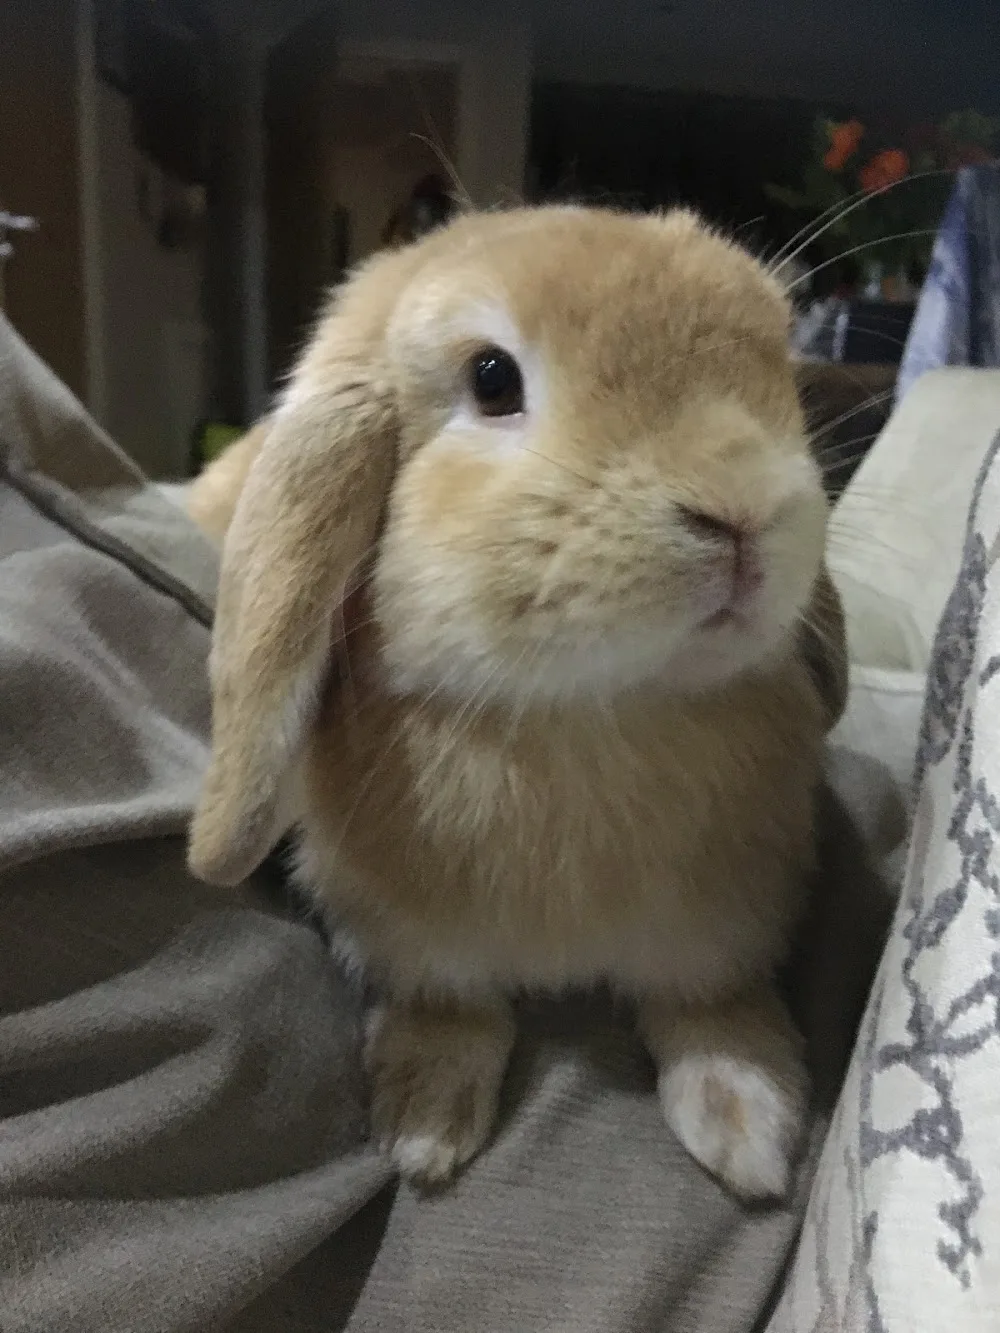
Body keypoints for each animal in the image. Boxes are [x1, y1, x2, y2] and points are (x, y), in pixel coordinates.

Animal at [187, 205, 848, 1199]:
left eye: (780, 371)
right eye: (492, 378)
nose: (741, 510)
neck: (589, 717)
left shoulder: (721, 926)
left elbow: (711, 1002)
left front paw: (747, 1125)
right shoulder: (415, 942)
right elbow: (453, 1010)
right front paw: (422, 1124)